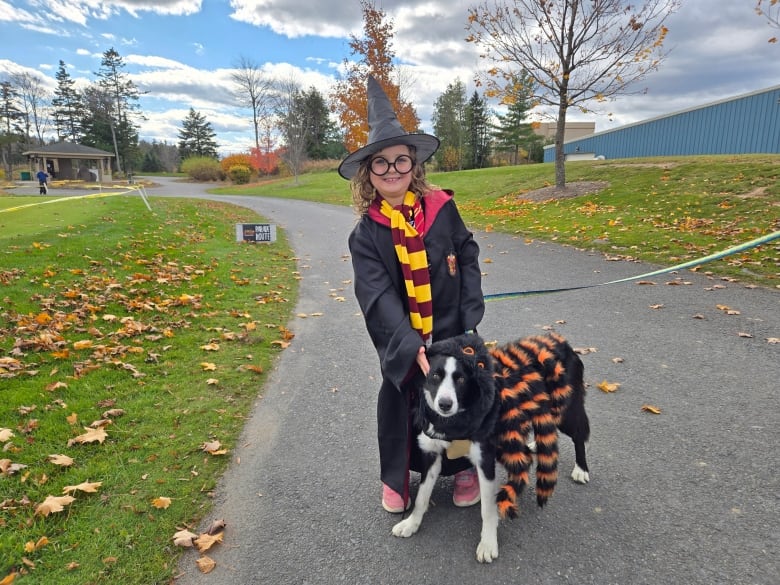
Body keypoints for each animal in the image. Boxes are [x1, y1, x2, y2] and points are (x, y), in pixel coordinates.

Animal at [394, 330, 588, 560]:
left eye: (461, 379)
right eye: (434, 375)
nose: (445, 404)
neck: (456, 420)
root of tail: (561, 340)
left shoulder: (485, 459)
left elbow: (487, 508)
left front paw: (488, 543)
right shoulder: (432, 454)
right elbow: (422, 496)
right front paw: (411, 524)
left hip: (565, 411)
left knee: (579, 435)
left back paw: (581, 469)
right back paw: (533, 446)